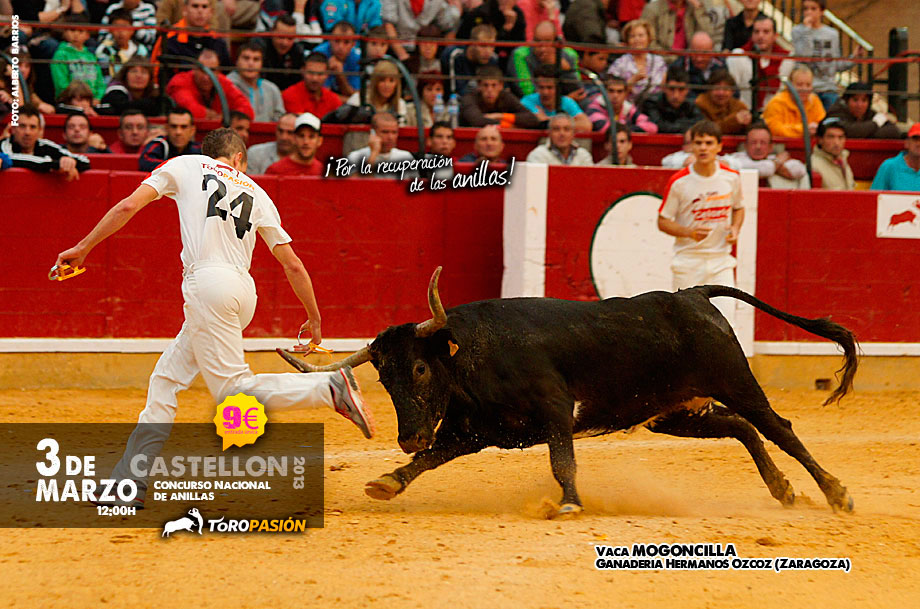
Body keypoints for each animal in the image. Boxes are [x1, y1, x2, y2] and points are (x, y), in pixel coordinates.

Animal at [278, 268, 858, 518]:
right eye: (384, 378)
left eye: (420, 369)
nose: (407, 437)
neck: (473, 355)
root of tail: (693, 293)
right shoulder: (472, 432)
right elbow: (430, 461)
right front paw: (388, 481)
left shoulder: (555, 411)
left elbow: (563, 463)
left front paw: (570, 504)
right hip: (671, 412)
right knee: (740, 428)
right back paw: (783, 490)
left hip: (736, 381)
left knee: (779, 429)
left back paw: (836, 493)